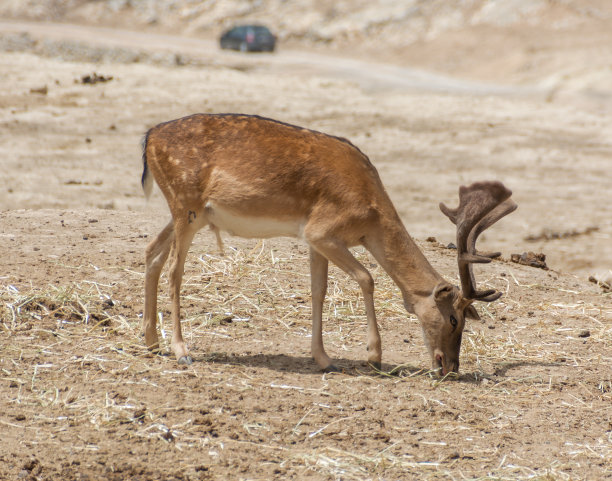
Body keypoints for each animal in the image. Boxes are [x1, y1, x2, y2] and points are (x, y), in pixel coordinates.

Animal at [140, 113, 516, 376]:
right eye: (454, 320)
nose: (451, 367)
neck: (370, 215)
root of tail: (149, 138)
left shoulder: (313, 239)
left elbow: (318, 289)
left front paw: (324, 358)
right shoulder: (322, 231)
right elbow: (367, 278)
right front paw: (373, 357)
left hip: (190, 214)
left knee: (151, 253)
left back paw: (151, 342)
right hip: (186, 206)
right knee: (174, 270)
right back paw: (181, 350)